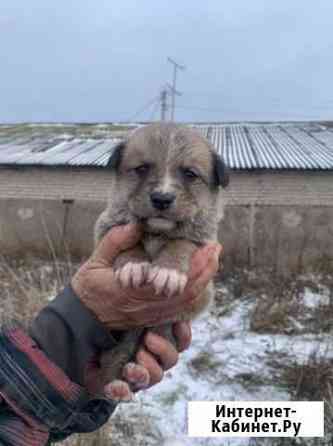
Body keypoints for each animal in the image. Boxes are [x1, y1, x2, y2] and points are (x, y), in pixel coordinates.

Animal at [94, 123, 227, 400]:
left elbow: (181, 242)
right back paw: (116, 385)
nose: (162, 199)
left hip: (160, 333)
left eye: (190, 174)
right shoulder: (107, 227)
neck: (157, 232)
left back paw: (135, 375)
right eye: (142, 168)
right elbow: (129, 243)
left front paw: (168, 271)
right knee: (112, 361)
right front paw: (134, 266)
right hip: (119, 338)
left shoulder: (204, 244)